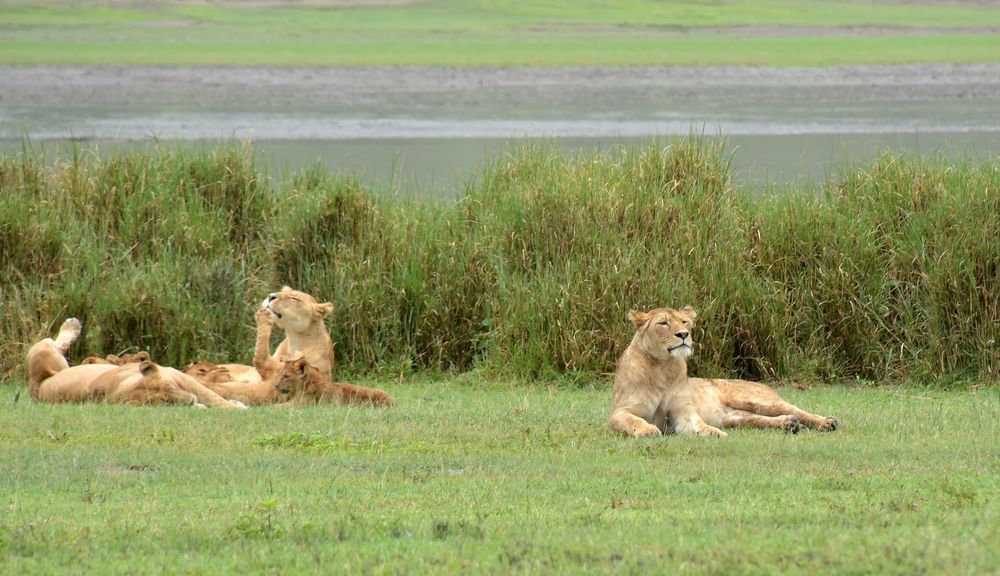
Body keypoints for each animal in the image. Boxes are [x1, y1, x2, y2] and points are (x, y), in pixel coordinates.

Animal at [25, 318, 244, 408]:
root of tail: (37, 385)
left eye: (170, 387)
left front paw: (236, 405)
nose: (190, 400)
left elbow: (214, 398)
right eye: (165, 401)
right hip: (42, 355)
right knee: (55, 343)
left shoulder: (180, 376)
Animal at [608, 308, 836, 438]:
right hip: (736, 417)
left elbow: (698, 424)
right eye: (663, 323)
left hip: (756, 399)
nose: (684, 334)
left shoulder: (683, 412)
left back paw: (827, 423)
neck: (664, 367)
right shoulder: (620, 412)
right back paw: (789, 424)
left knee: (798, 410)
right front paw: (647, 430)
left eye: (684, 322)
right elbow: (634, 421)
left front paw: (713, 432)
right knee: (760, 419)